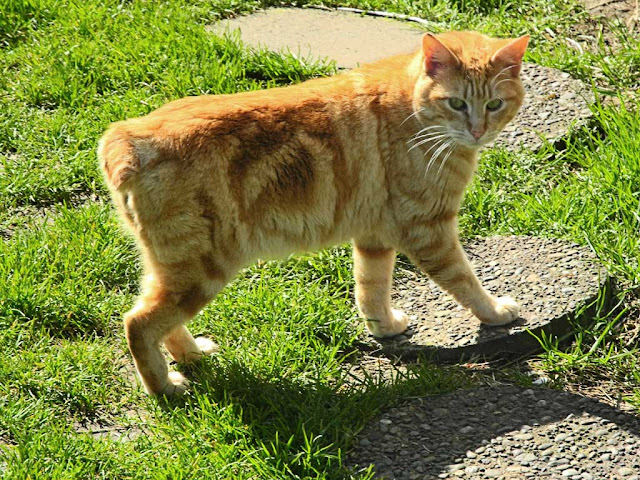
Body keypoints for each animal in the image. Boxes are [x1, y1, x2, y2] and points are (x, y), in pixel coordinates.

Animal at [99, 31, 528, 398]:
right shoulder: (429, 230)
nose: (478, 131)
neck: (414, 111)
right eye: (457, 103)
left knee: (157, 318)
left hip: (170, 266)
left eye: (494, 104)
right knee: (138, 323)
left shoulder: (375, 236)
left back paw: (191, 356)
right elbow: (464, 280)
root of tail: (127, 135)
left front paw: (384, 328)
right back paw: (166, 387)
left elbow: (371, 288)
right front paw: (495, 312)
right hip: (200, 269)